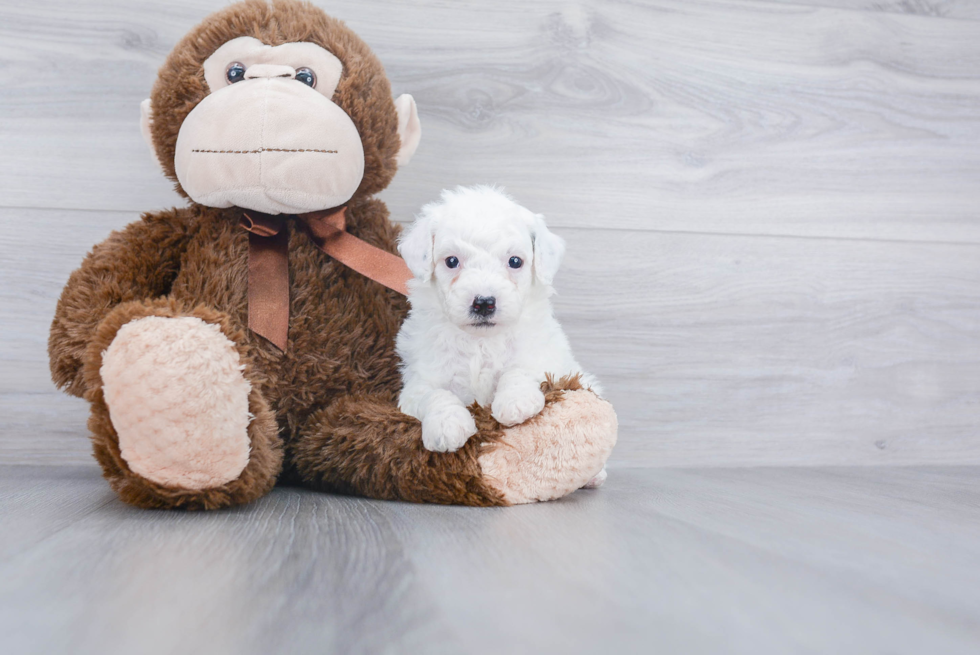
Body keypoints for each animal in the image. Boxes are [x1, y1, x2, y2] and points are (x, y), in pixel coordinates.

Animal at [396, 183, 596, 452]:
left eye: (515, 261)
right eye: (452, 261)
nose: (484, 302)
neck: (481, 341)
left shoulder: (547, 360)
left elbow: (520, 370)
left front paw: (516, 401)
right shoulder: (418, 380)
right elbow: (433, 394)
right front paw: (447, 425)